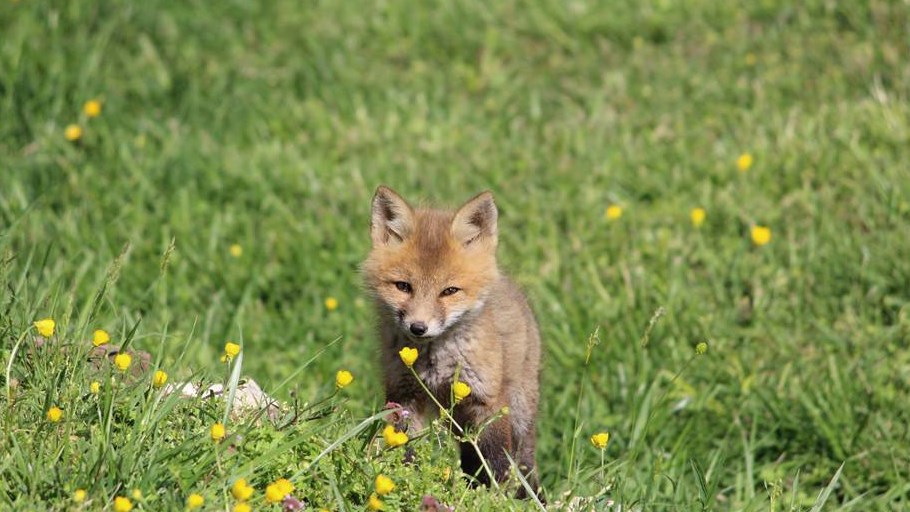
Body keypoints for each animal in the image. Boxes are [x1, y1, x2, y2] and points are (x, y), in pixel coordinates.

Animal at [364, 186, 540, 498]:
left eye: (449, 291)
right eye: (403, 286)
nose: (418, 328)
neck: (435, 363)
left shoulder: (487, 401)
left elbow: (496, 460)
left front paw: (495, 497)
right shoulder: (405, 397)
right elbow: (404, 448)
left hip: (518, 412)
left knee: (525, 461)